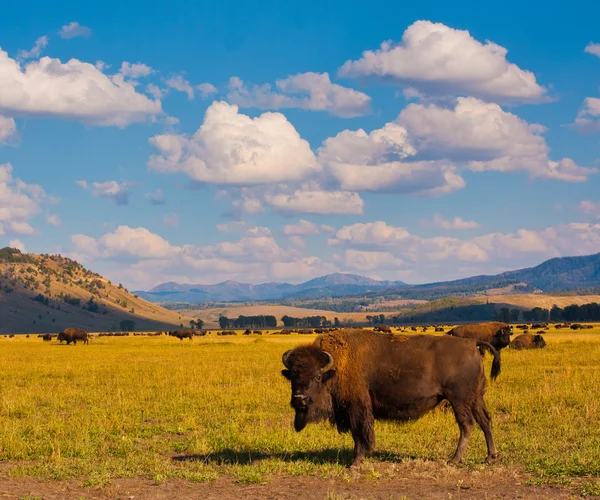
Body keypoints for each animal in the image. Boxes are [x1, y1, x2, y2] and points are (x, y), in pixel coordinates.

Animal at [282, 330, 502, 466]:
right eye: (292, 375)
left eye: (317, 377)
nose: (300, 398)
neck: (335, 366)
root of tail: (471, 343)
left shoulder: (357, 407)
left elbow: (359, 432)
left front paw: (355, 462)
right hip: (475, 398)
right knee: (485, 420)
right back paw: (490, 457)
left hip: (459, 400)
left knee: (467, 424)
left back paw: (455, 459)